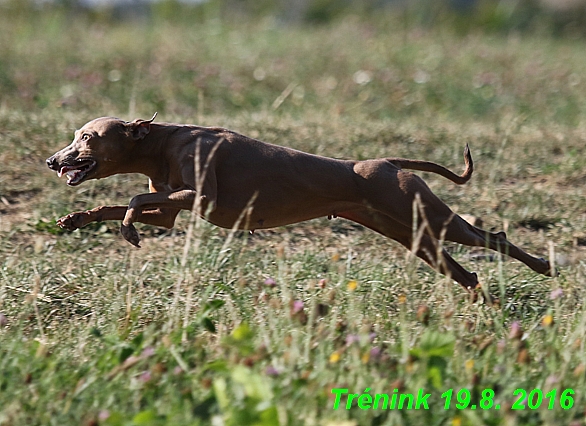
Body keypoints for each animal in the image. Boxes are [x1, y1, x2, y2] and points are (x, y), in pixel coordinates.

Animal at [46, 115, 552, 292]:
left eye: (87, 137)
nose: (53, 160)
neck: (165, 139)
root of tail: (387, 162)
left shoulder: (200, 196)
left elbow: (133, 196)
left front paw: (128, 229)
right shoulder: (171, 209)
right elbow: (127, 202)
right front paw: (77, 218)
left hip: (433, 219)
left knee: (492, 236)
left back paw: (543, 266)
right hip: (414, 235)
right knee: (468, 273)